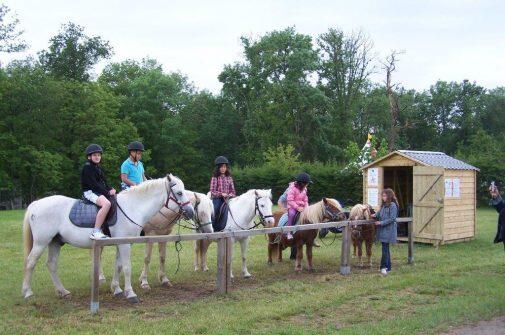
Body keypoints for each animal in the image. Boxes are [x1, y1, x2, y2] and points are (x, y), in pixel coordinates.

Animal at [21, 175, 193, 304]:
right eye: (179, 193)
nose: (190, 212)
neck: (133, 207)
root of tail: (36, 203)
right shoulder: (126, 244)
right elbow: (127, 267)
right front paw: (131, 293)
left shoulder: (121, 243)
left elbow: (118, 266)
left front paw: (116, 289)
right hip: (41, 242)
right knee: (30, 263)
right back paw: (28, 293)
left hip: (55, 242)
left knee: (51, 265)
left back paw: (62, 291)